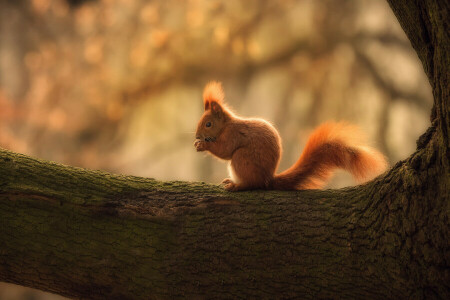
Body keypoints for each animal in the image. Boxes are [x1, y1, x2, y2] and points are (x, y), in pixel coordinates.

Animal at [193, 81, 386, 191]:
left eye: (208, 124)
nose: (196, 136)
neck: (226, 125)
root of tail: (268, 180)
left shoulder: (233, 135)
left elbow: (224, 150)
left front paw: (203, 145)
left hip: (241, 160)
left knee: (252, 184)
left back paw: (236, 186)